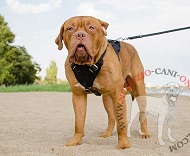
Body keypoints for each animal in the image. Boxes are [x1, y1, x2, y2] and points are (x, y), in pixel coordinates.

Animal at [55, 16, 150, 149]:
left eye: (91, 27)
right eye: (70, 28)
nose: (80, 34)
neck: (86, 65)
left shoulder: (118, 93)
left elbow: (122, 123)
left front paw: (124, 145)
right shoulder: (78, 95)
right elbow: (78, 123)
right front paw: (74, 141)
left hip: (139, 89)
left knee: (142, 114)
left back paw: (145, 133)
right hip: (107, 98)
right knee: (112, 117)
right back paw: (107, 133)